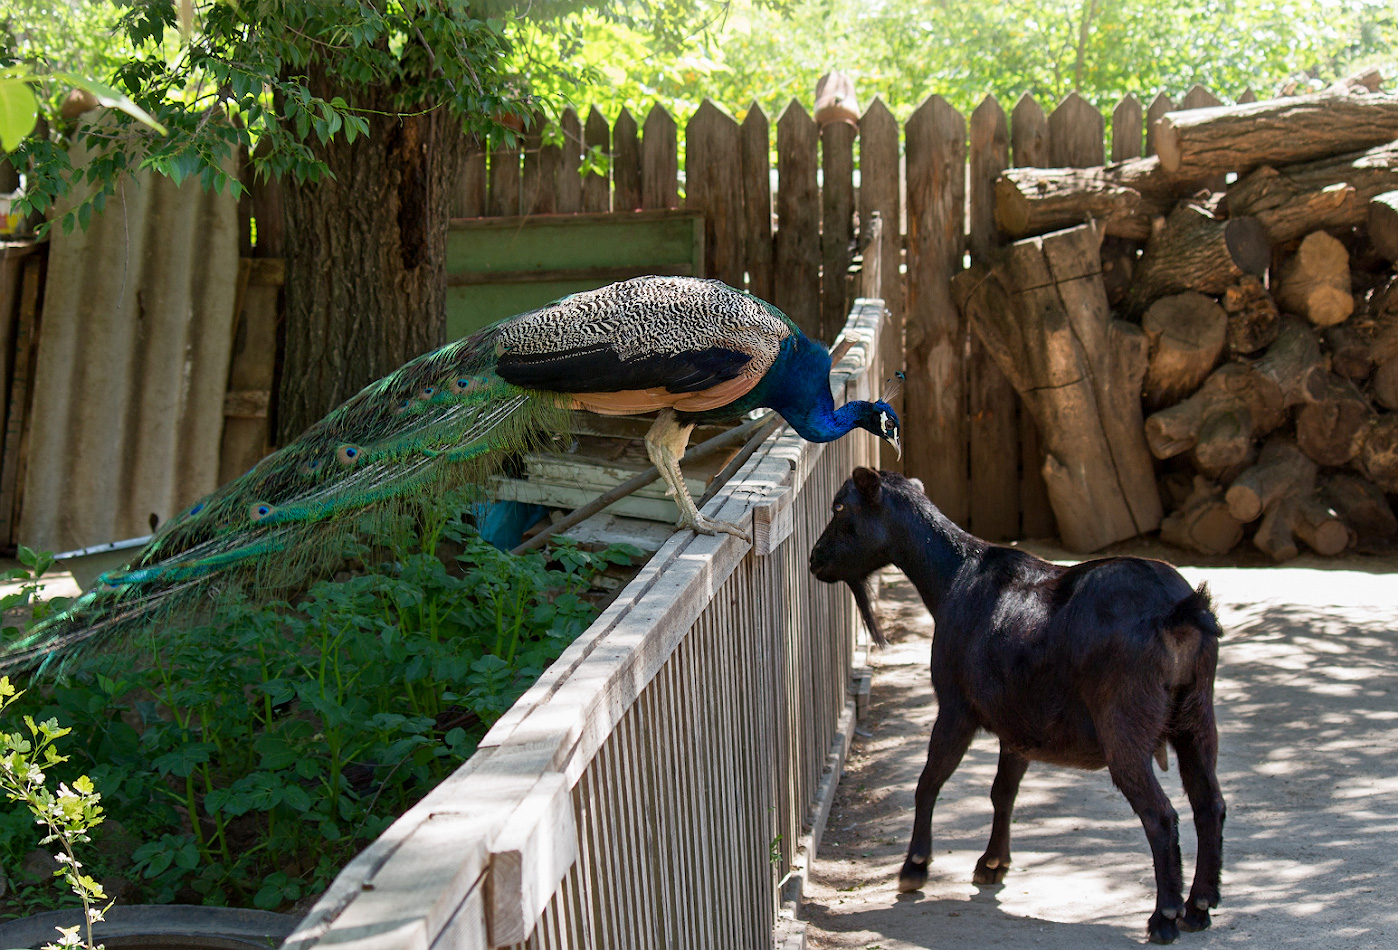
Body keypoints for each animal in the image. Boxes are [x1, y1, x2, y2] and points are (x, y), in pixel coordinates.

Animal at [810, 466, 1224, 944]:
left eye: (840, 506)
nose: (814, 558)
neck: (954, 579)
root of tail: (1181, 612)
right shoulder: (1019, 724)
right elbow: (1002, 791)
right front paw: (992, 863)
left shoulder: (956, 708)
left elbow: (929, 781)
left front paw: (914, 867)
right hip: (1196, 717)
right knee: (1209, 804)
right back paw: (1200, 905)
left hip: (1126, 723)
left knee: (1161, 816)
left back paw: (1165, 916)